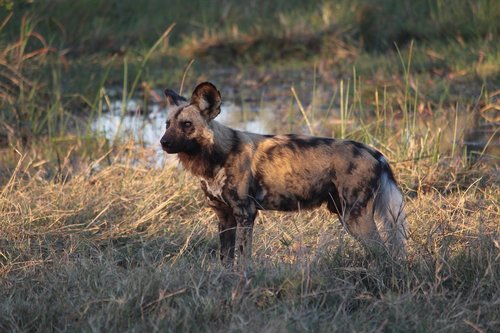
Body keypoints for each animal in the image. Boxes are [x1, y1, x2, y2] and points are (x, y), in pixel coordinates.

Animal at [162, 82, 408, 264]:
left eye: (186, 124)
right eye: (167, 124)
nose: (163, 142)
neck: (216, 157)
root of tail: (375, 153)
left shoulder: (245, 213)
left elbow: (242, 259)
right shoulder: (224, 216)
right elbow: (226, 259)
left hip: (355, 218)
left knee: (383, 252)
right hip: (346, 214)